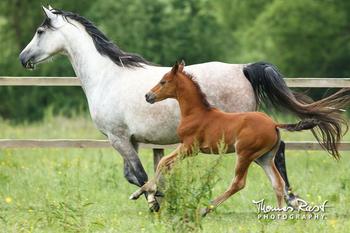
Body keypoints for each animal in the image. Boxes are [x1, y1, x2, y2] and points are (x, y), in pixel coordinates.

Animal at [131, 61, 350, 216]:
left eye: (163, 81)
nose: (148, 96)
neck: (197, 113)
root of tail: (274, 124)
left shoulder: (189, 147)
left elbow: (163, 163)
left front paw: (143, 192)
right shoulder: (188, 150)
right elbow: (166, 165)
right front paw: (149, 193)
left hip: (244, 154)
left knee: (238, 183)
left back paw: (205, 209)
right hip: (264, 157)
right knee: (277, 183)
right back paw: (279, 217)